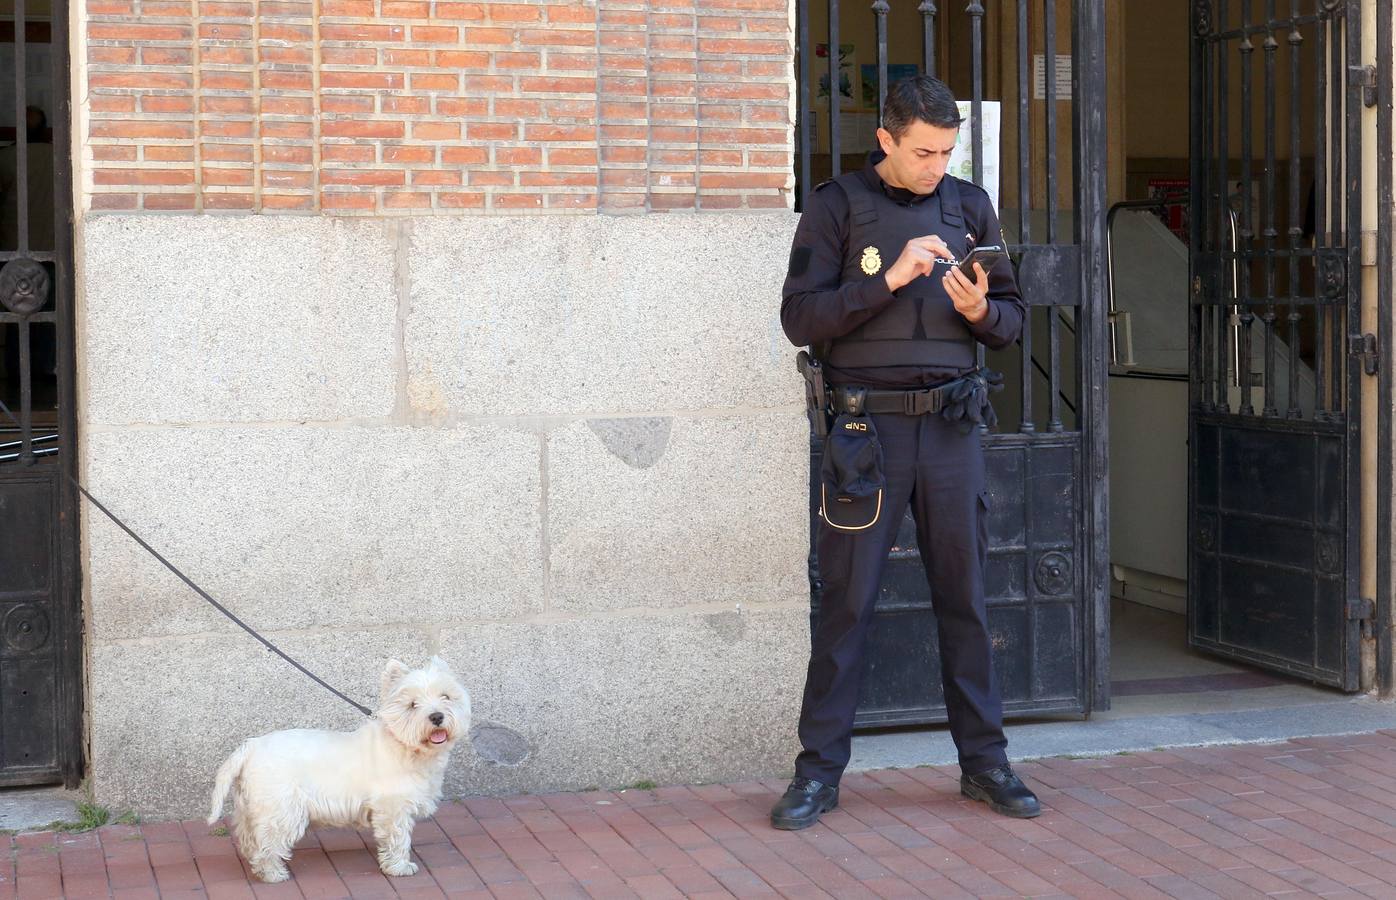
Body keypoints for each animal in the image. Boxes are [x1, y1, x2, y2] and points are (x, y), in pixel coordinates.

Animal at [203, 655, 471, 881]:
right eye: (412, 704)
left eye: (446, 696)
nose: (436, 717)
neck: (405, 746)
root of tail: (251, 747)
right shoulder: (393, 808)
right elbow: (398, 838)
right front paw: (400, 867)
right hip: (281, 809)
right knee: (267, 843)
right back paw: (273, 874)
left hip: (251, 806)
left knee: (249, 837)